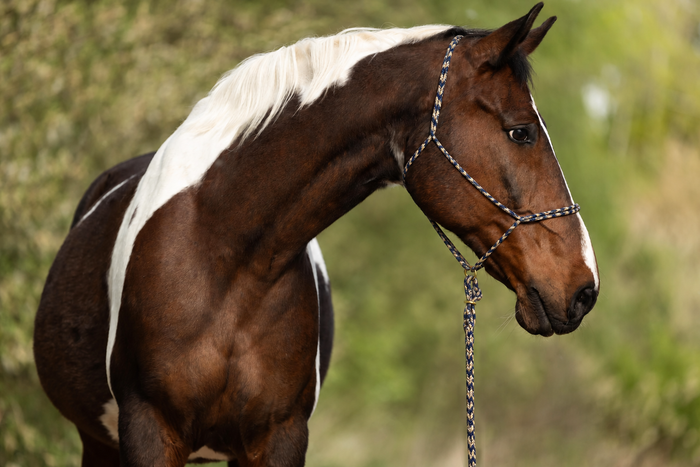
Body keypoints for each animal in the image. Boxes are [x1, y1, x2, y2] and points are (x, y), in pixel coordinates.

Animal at [34, 3, 599, 466]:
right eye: (520, 131)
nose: (584, 288)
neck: (224, 258)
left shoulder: (279, 438)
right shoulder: (148, 432)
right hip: (98, 443)